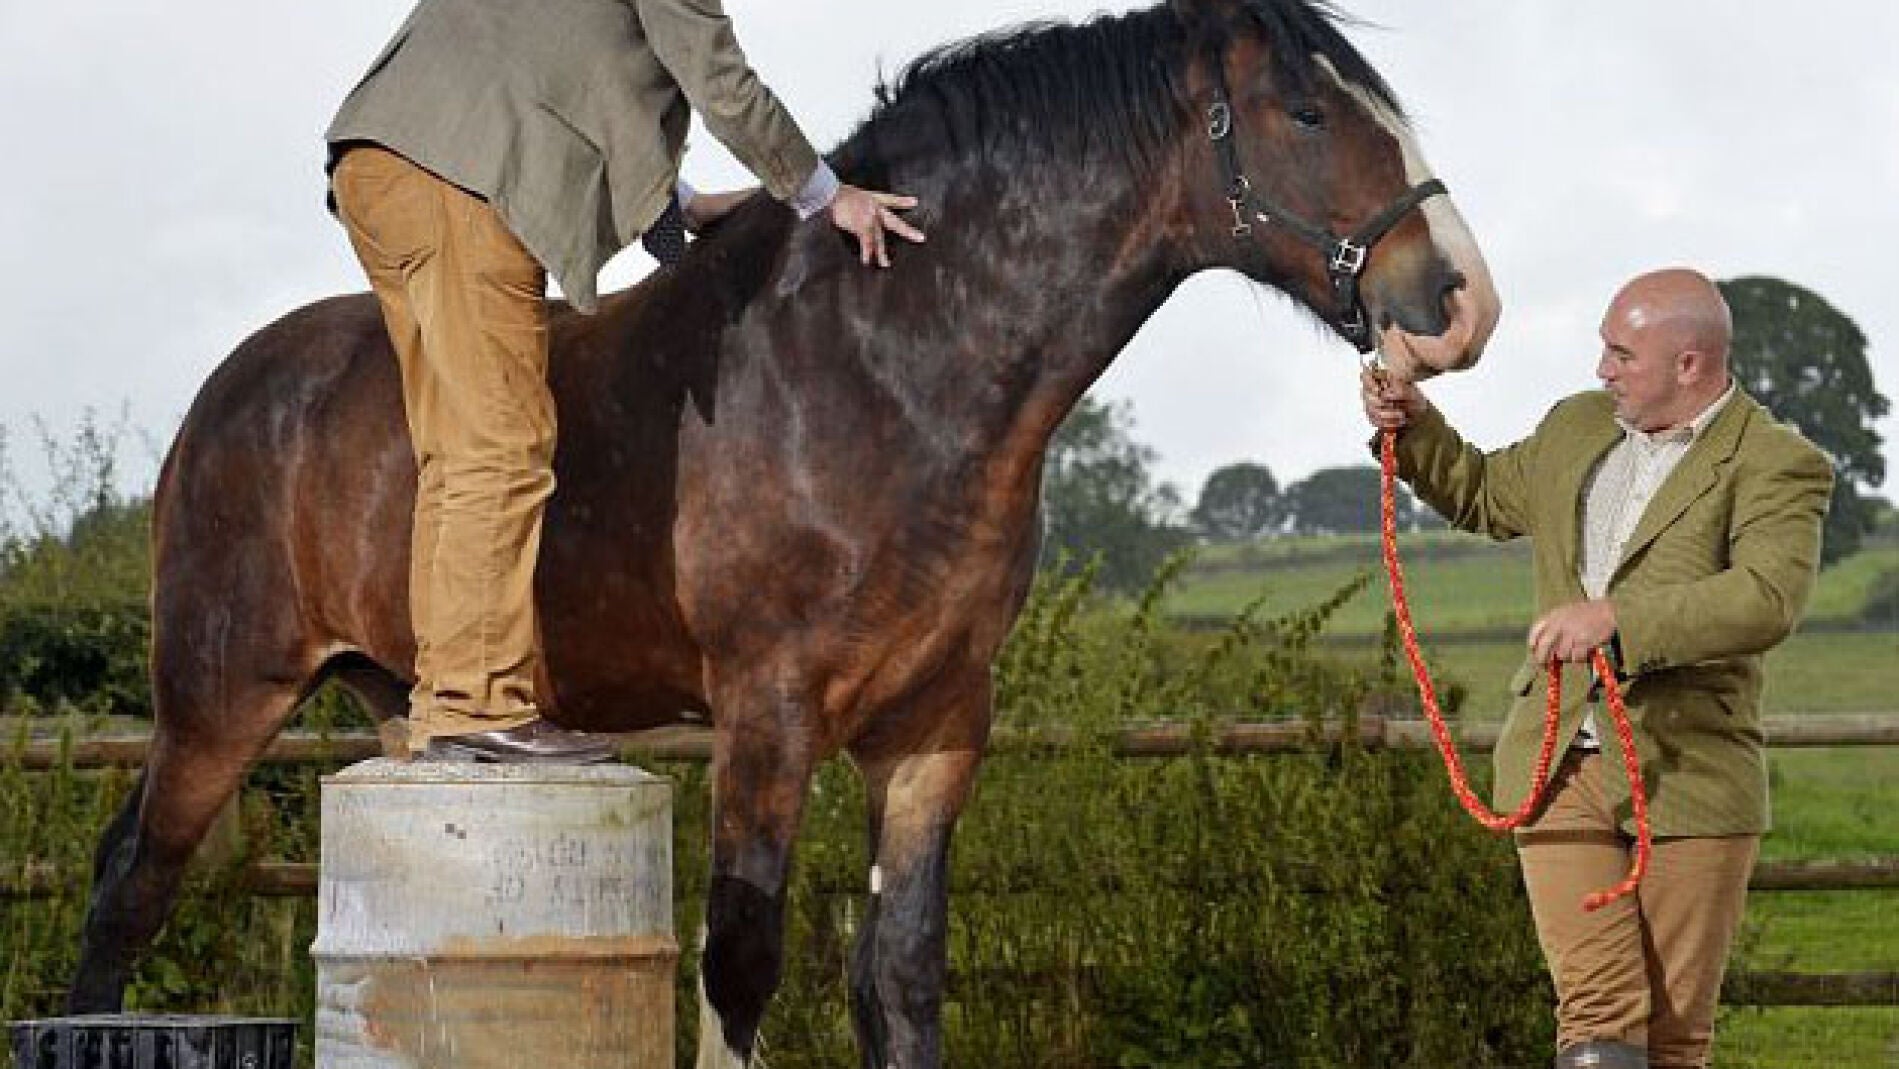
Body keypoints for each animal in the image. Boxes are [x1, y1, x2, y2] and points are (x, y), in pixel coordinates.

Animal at [69, 1, 1499, 1066]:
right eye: (1308, 113)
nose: (1458, 302)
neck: (883, 366)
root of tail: (231, 391)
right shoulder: (767, 714)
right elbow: (741, 966)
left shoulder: (934, 727)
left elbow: (902, 973)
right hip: (218, 698)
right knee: (129, 884)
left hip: (387, 700)